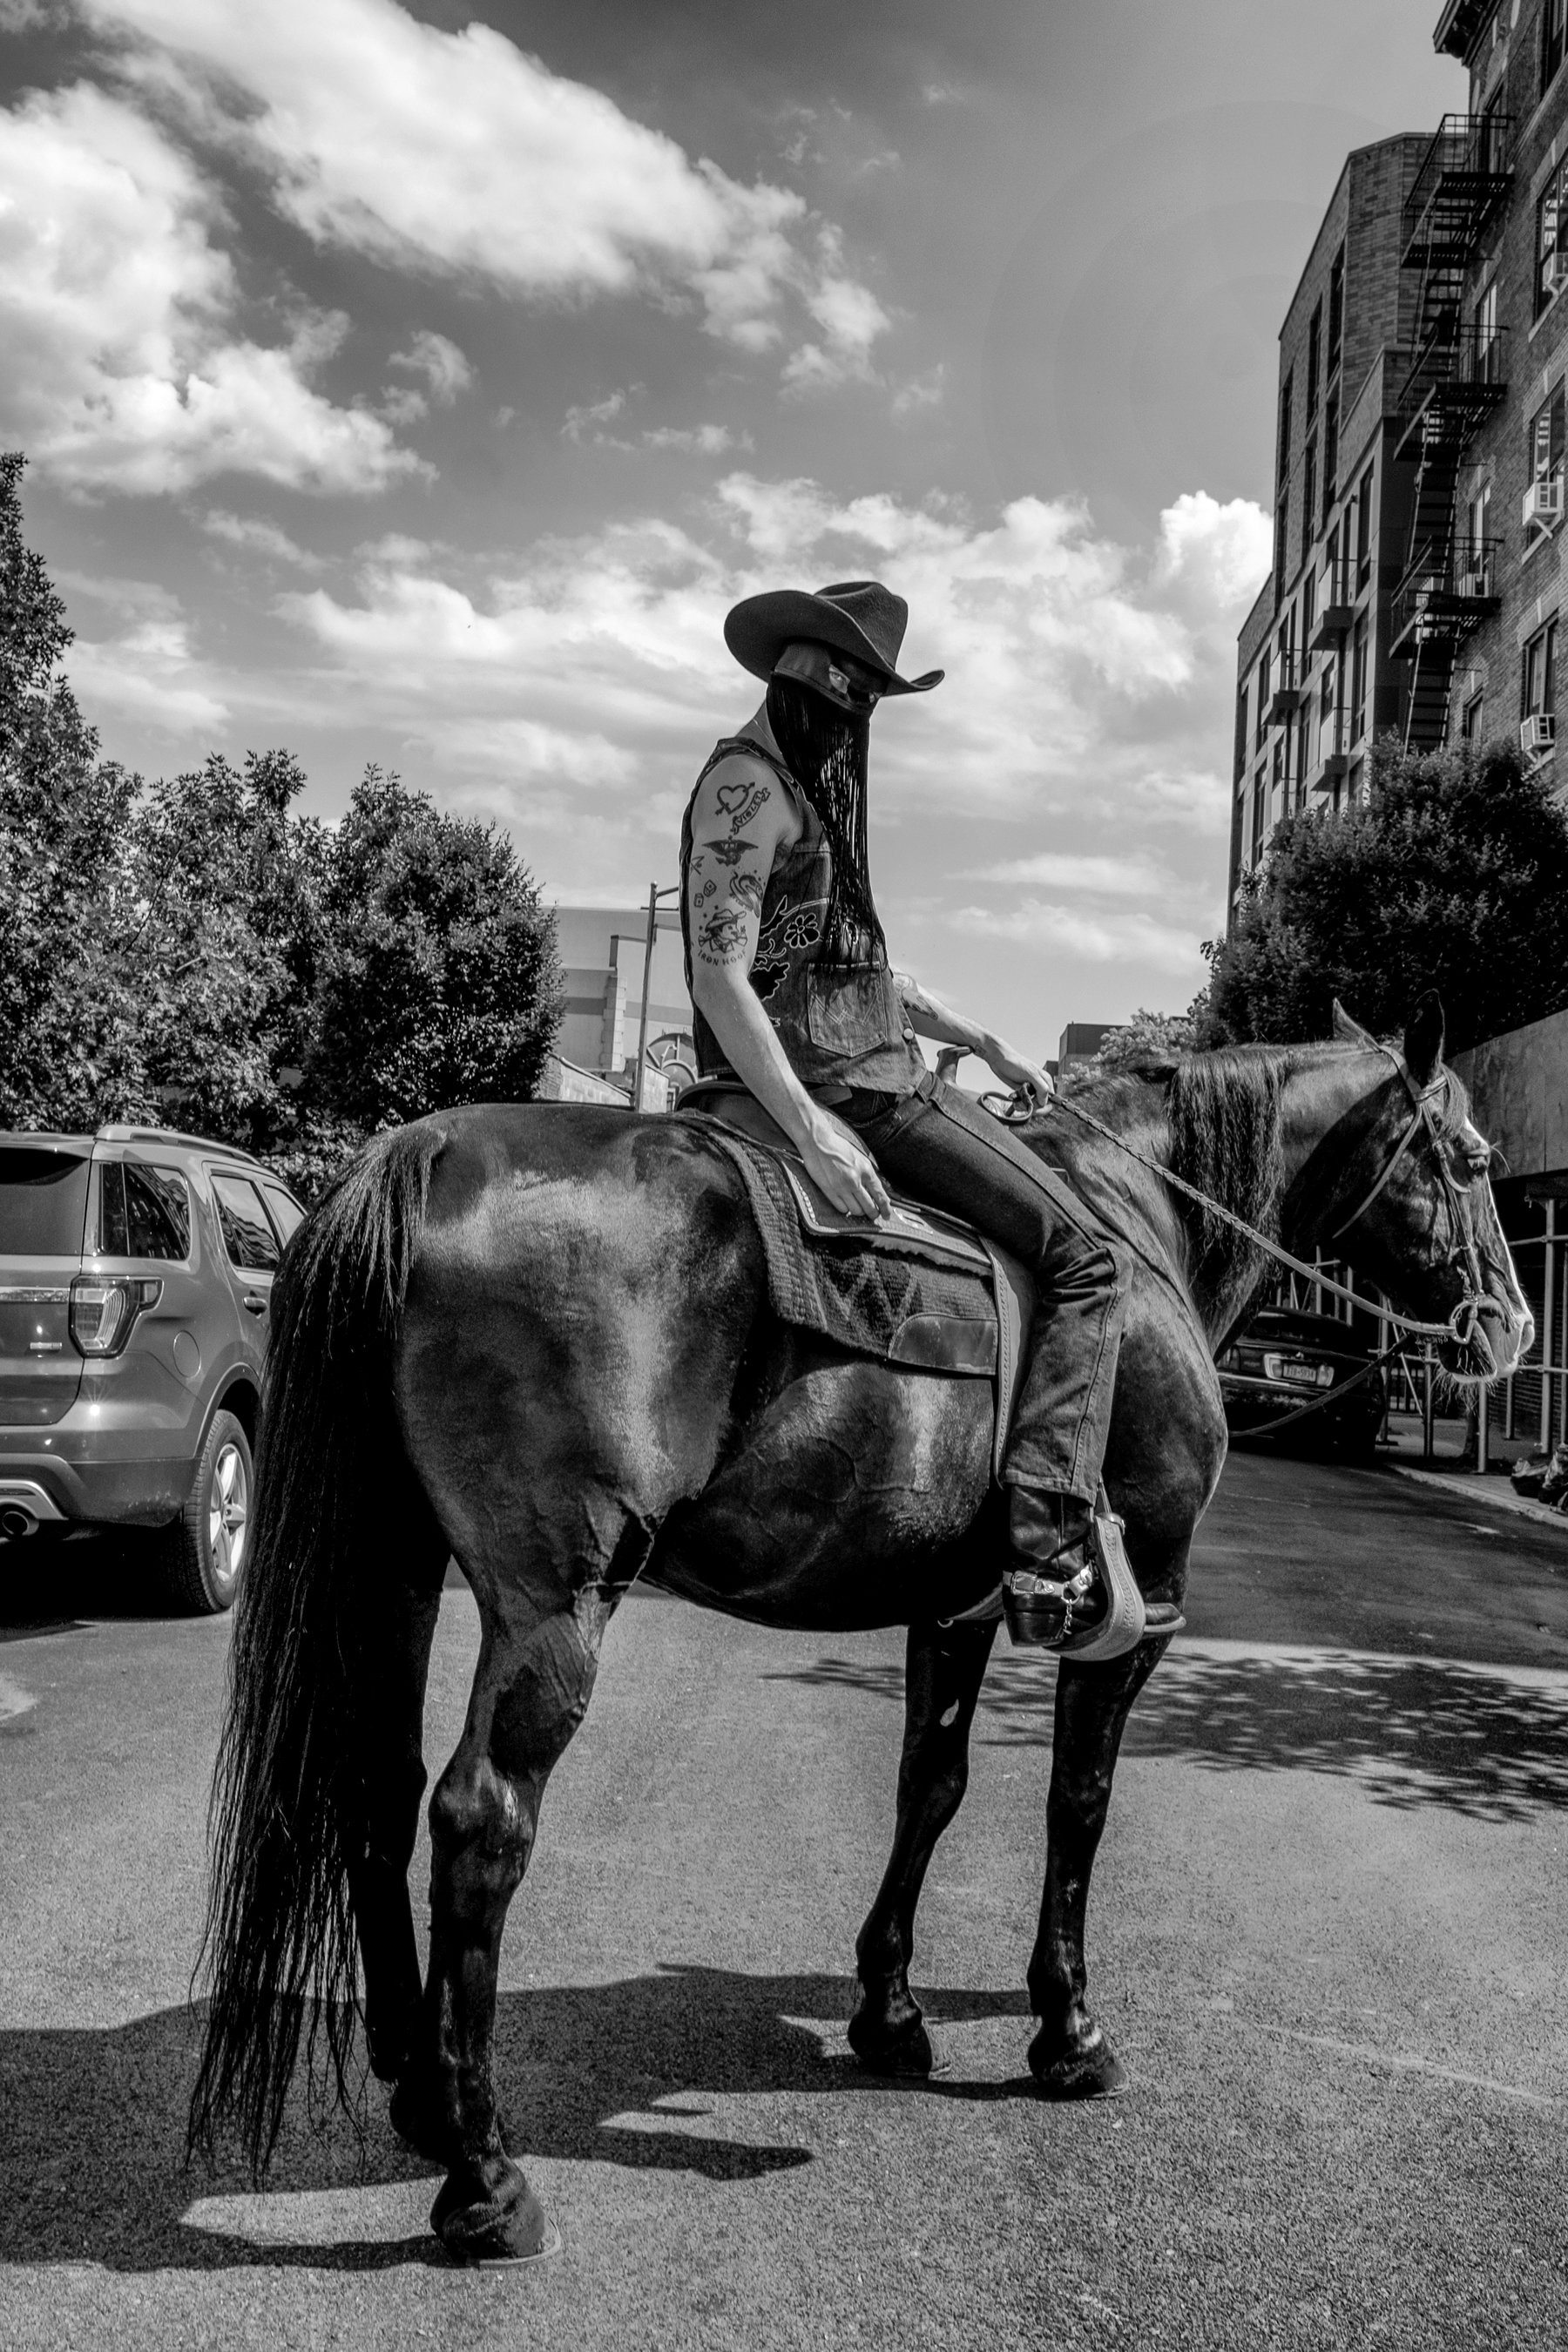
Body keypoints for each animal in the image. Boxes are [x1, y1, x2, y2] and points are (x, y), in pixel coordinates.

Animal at [186, 992, 1532, 2258]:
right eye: (1469, 1158)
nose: (1513, 1324)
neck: (1140, 1230)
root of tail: (424, 1150)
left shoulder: (957, 1603)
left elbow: (929, 1783)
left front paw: (891, 2010)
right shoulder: (1141, 1597)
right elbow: (1079, 1803)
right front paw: (1068, 2030)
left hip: (396, 1559)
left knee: (373, 1780)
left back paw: (425, 2093)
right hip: (553, 1599)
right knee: (480, 1819)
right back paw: (485, 2179)